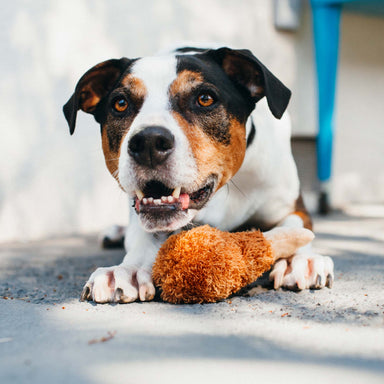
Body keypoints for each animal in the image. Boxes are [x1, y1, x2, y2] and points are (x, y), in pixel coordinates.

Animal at [63, 45, 332, 304]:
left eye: (205, 99)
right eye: (120, 103)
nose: (149, 142)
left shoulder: (291, 206)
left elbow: (297, 226)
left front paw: (298, 260)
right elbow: (143, 236)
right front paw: (127, 269)